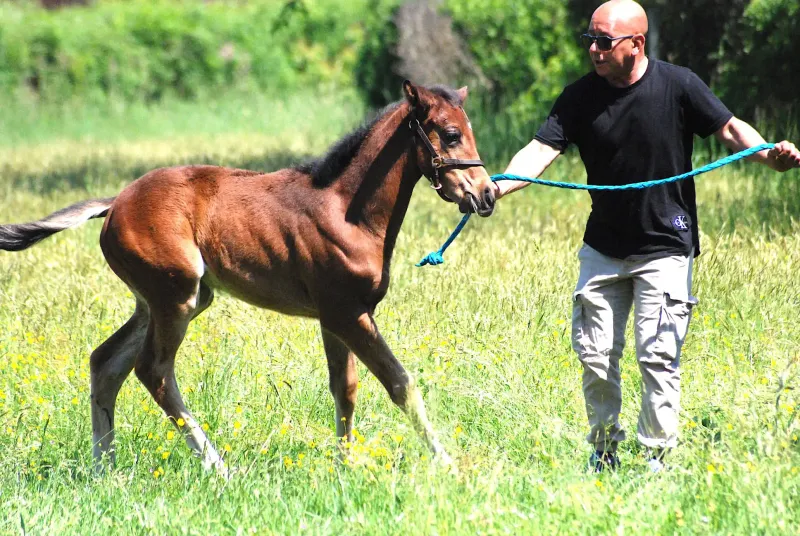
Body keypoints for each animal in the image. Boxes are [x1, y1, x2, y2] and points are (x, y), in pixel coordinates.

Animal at [0, 81, 496, 476]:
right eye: (451, 134)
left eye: (470, 130)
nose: (486, 194)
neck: (345, 211)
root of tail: (115, 203)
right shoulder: (349, 313)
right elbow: (400, 383)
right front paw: (449, 466)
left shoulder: (334, 317)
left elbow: (345, 389)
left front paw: (345, 467)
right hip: (176, 298)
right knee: (153, 371)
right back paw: (218, 468)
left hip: (161, 301)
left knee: (105, 364)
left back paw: (105, 471)